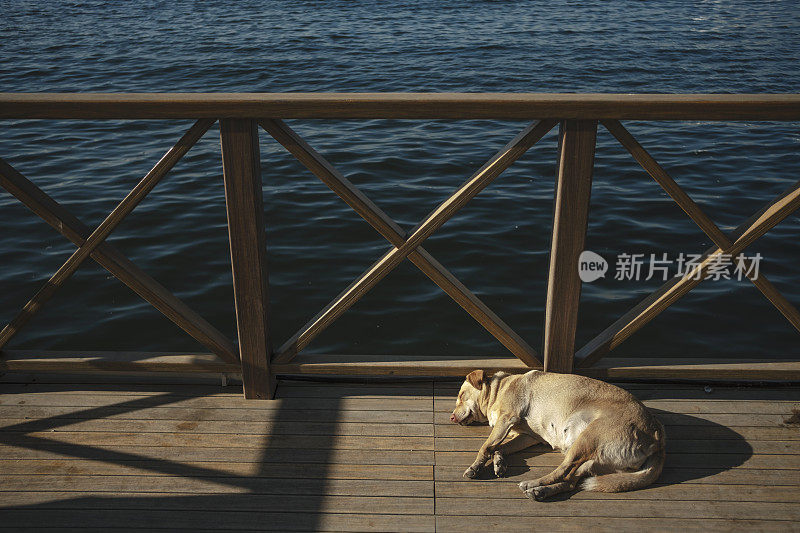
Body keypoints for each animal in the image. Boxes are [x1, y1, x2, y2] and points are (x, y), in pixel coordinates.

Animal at [450, 370, 664, 498]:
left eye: (461, 396)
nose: (451, 417)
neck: (499, 389)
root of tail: (657, 437)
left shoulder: (507, 419)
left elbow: (486, 446)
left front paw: (476, 467)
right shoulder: (528, 437)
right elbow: (500, 447)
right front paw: (499, 462)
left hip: (586, 440)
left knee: (562, 470)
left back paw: (532, 484)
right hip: (594, 462)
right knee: (570, 481)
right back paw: (541, 492)